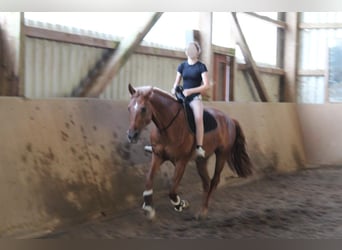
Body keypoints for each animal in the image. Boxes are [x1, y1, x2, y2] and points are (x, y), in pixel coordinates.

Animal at [127, 83, 252, 219]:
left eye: (143, 109)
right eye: (129, 108)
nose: (131, 135)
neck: (168, 127)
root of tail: (230, 120)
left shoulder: (181, 161)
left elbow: (172, 190)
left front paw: (180, 204)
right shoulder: (158, 156)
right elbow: (149, 180)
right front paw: (149, 207)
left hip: (222, 155)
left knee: (214, 181)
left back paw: (203, 211)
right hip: (202, 160)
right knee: (206, 182)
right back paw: (201, 210)